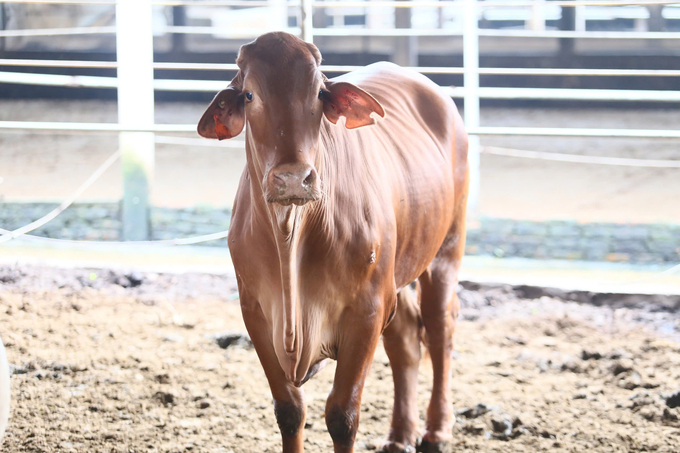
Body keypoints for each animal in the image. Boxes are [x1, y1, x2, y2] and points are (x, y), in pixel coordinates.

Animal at [198, 32, 468, 452]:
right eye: (249, 95)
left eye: (319, 94)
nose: (294, 178)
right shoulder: (255, 310)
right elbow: (289, 411)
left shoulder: (367, 310)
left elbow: (342, 416)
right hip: (397, 274)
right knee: (407, 339)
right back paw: (399, 434)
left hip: (446, 249)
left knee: (440, 329)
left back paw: (437, 429)